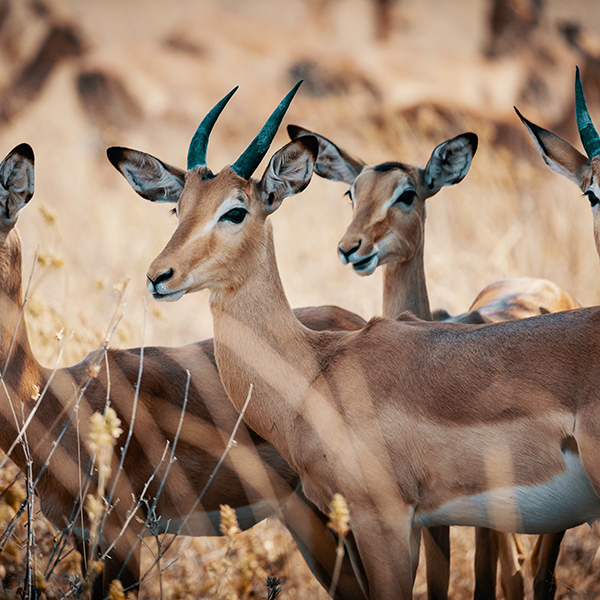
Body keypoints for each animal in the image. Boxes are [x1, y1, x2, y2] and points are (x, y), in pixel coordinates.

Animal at [0, 143, 370, 596]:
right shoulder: (83, 539)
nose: (158, 277)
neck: (51, 399)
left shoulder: (121, 543)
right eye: (177, 208)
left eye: (235, 210)